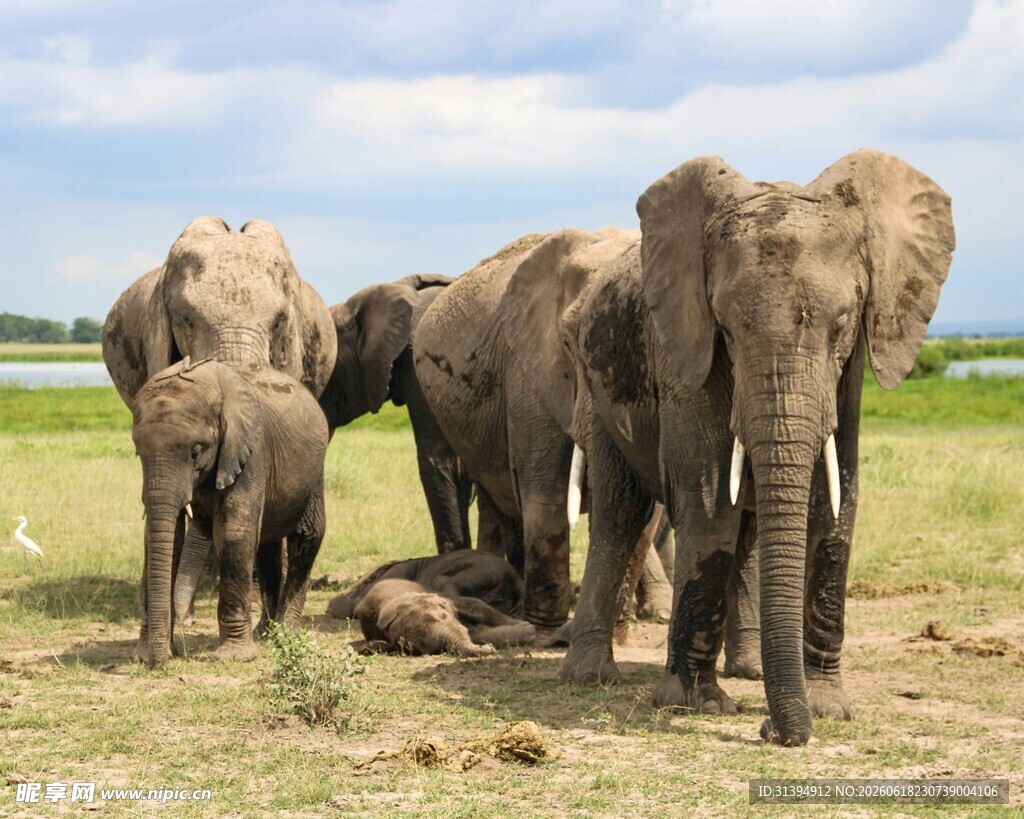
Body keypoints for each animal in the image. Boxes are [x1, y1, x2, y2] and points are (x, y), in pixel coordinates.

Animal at [131, 357, 329, 665]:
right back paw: (264, 633)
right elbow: (165, 538)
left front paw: (234, 657)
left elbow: (234, 531)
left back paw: (286, 634)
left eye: (195, 451)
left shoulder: (252, 450)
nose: (158, 661)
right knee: (266, 549)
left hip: (314, 473)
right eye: (138, 452)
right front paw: (144, 654)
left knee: (307, 537)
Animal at [353, 579, 535, 657]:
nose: (489, 648)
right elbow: (477, 634)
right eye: (425, 649)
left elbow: (475, 605)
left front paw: (527, 627)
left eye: (442, 616)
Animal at [501, 149, 954, 745]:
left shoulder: (853, 366)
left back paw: (751, 671)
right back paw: (590, 678)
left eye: (841, 325)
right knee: (622, 514)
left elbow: (838, 499)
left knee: (748, 530)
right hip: (598, 396)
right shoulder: (682, 343)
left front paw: (827, 707)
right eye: (729, 330)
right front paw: (697, 705)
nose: (770, 731)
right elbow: (708, 493)